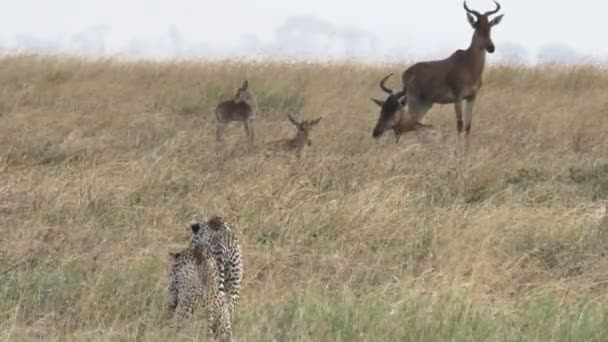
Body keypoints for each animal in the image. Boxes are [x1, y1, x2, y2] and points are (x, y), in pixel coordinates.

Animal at [372, 0, 506, 146]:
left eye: (490, 26)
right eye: (476, 26)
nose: (491, 48)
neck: (468, 63)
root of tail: (406, 72)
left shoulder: (472, 97)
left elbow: (468, 126)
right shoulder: (457, 97)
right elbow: (460, 124)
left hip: (425, 103)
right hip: (415, 101)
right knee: (406, 124)